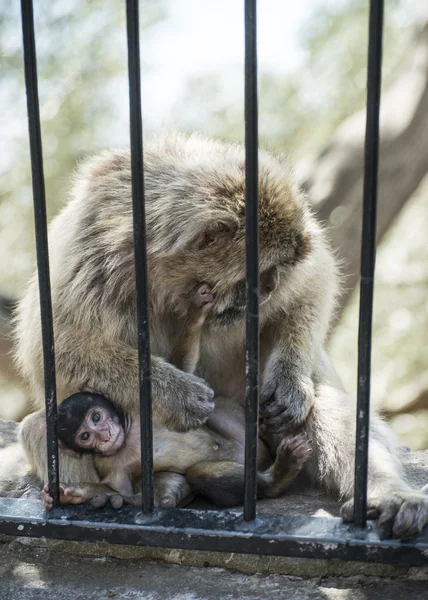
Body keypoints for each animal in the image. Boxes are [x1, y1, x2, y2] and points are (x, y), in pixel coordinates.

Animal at [42, 284, 310, 508]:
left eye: (96, 417)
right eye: (85, 436)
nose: (105, 435)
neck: (127, 437)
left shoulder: (140, 409)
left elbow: (181, 372)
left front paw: (195, 316)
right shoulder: (110, 469)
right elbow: (132, 496)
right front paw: (77, 494)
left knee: (218, 409)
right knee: (198, 473)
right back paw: (277, 477)